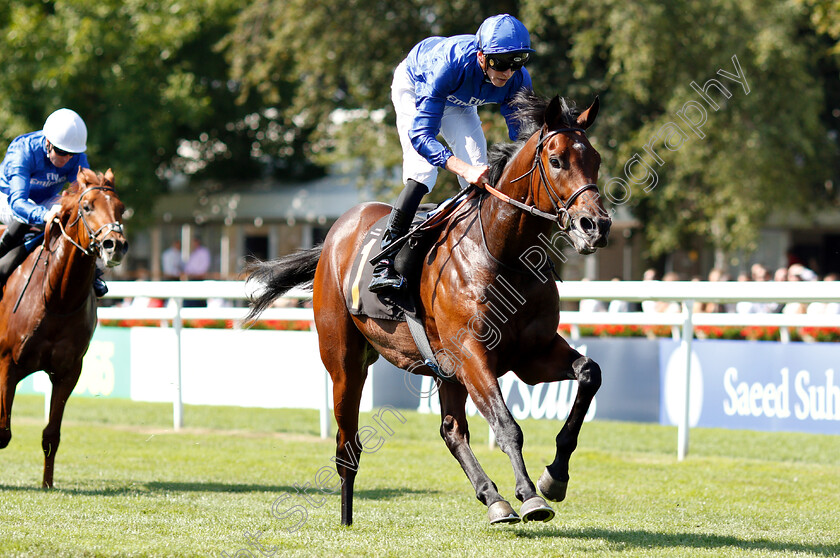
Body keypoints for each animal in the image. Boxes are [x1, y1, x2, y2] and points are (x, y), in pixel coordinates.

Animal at [0, 168, 126, 488]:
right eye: (87, 207)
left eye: (121, 208)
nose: (115, 245)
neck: (55, 296)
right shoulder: (7, 364)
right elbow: (2, 432)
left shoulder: (68, 371)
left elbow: (51, 435)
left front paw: (47, 484)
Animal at [246, 93, 608, 528]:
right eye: (556, 160)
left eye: (596, 160)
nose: (595, 225)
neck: (503, 255)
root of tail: (336, 232)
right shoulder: (471, 353)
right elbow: (507, 425)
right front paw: (530, 496)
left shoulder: (531, 355)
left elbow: (589, 374)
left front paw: (554, 477)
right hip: (345, 363)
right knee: (347, 446)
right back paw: (347, 519)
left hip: (444, 369)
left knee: (451, 429)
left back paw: (493, 498)